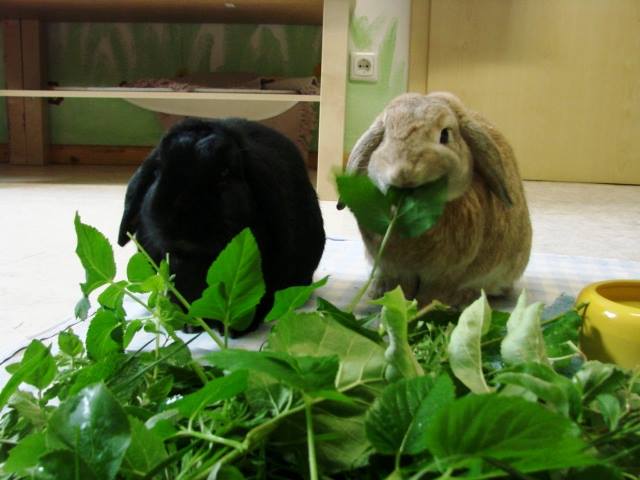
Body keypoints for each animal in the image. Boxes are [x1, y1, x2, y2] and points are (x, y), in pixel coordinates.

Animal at [343, 92, 532, 307]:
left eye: (445, 135)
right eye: (384, 138)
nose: (404, 174)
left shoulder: (446, 274)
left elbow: (432, 294)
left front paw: (422, 307)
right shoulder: (395, 269)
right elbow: (401, 288)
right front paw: (395, 301)